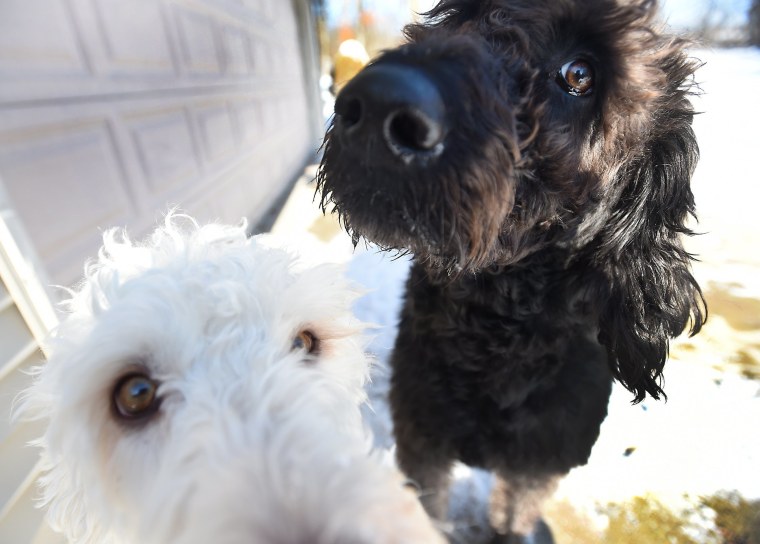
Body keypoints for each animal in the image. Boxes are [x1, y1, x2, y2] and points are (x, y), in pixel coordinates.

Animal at [316, 0, 708, 540]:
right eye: (460, 12)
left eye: (580, 74)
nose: (375, 103)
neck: (495, 333)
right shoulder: (421, 435)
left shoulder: (538, 463)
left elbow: (513, 515)